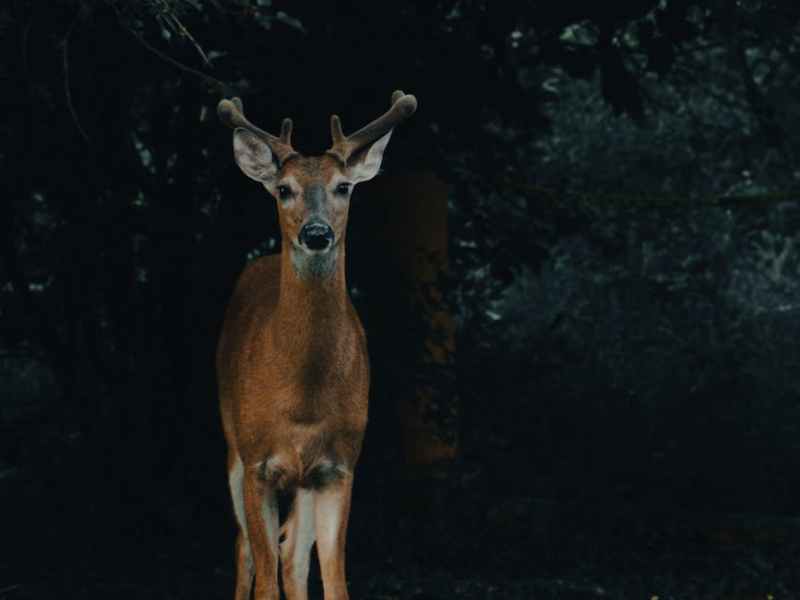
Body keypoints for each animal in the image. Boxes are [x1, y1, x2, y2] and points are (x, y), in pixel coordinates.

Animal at [216, 90, 417, 600]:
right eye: (284, 189)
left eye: (344, 187)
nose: (317, 233)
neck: (302, 401)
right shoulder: (257, 463)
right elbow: (264, 580)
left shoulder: (338, 466)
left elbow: (332, 578)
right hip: (231, 443)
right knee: (245, 550)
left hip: (305, 481)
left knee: (292, 557)